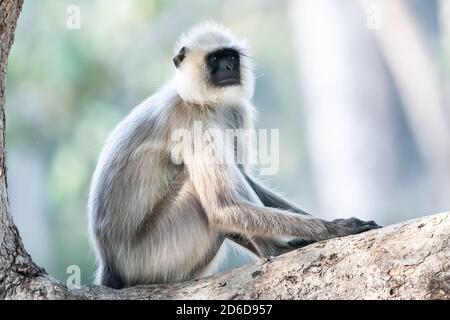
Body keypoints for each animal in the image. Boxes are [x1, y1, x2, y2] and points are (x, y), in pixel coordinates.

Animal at [88, 21, 380, 288]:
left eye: (231, 57)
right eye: (216, 59)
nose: (229, 68)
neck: (203, 102)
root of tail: (111, 269)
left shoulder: (234, 110)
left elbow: (241, 177)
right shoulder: (190, 122)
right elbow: (222, 205)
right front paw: (334, 229)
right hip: (155, 255)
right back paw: (276, 251)